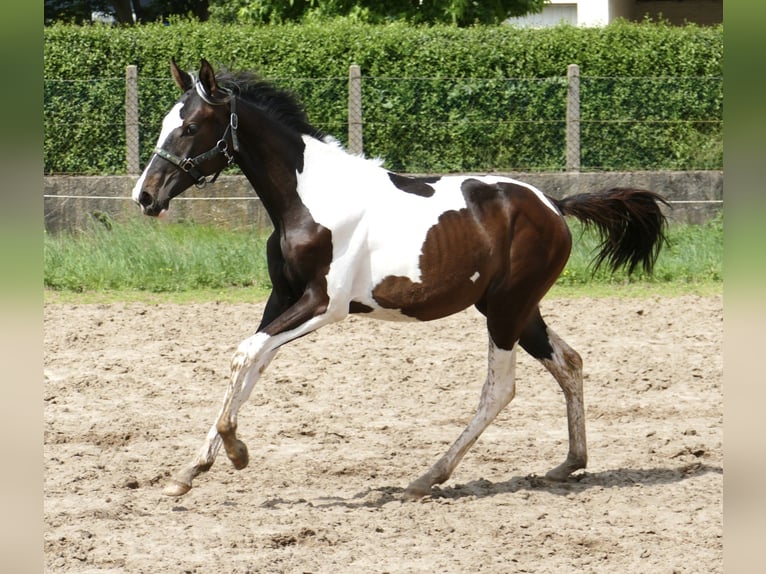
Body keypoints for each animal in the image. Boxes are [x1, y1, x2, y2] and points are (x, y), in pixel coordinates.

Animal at [134, 57, 672, 500]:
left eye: (190, 127)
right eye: (164, 124)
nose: (145, 195)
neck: (309, 198)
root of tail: (554, 205)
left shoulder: (323, 305)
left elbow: (246, 353)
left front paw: (235, 451)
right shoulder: (281, 298)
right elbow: (252, 362)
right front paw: (190, 471)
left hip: (506, 311)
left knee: (500, 389)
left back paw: (427, 478)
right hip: (517, 309)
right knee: (568, 361)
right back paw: (569, 463)